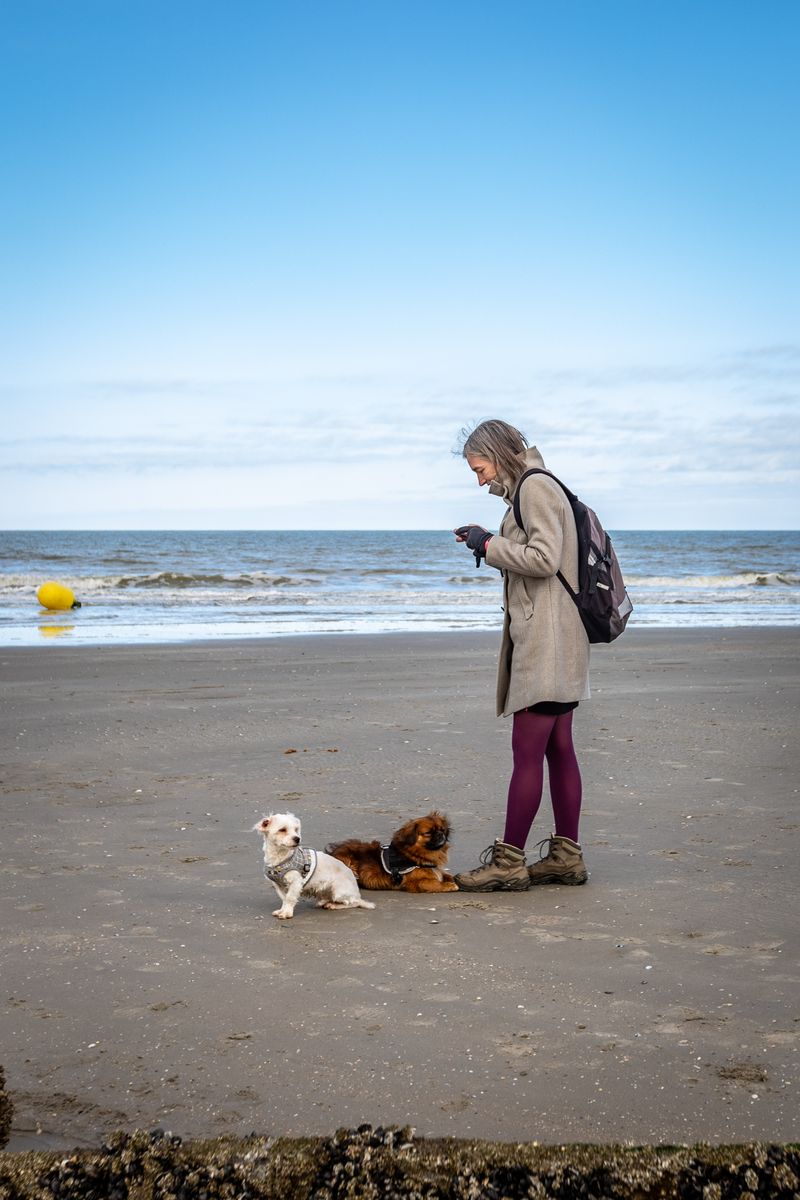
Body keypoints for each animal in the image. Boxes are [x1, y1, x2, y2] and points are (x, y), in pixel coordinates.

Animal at [326, 811, 462, 897]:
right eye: (428, 833)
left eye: (442, 830)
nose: (440, 834)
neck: (415, 855)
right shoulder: (415, 883)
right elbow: (434, 883)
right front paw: (450, 885)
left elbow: (448, 875)